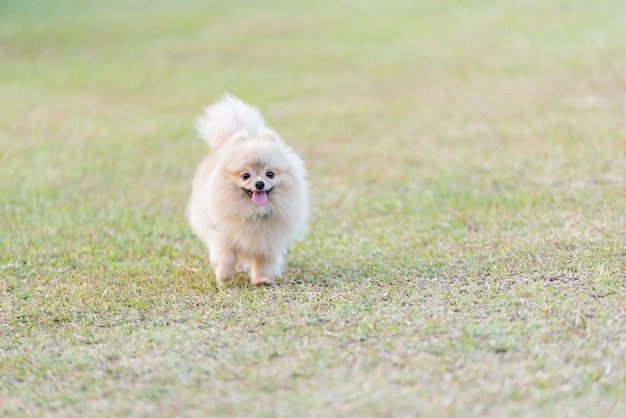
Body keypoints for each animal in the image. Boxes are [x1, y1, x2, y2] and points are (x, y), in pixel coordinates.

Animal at [188, 93, 310, 286]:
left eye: (270, 174)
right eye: (245, 175)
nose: (259, 184)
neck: (254, 213)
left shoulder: (269, 241)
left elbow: (263, 261)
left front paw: (262, 280)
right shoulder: (223, 235)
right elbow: (228, 257)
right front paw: (224, 278)